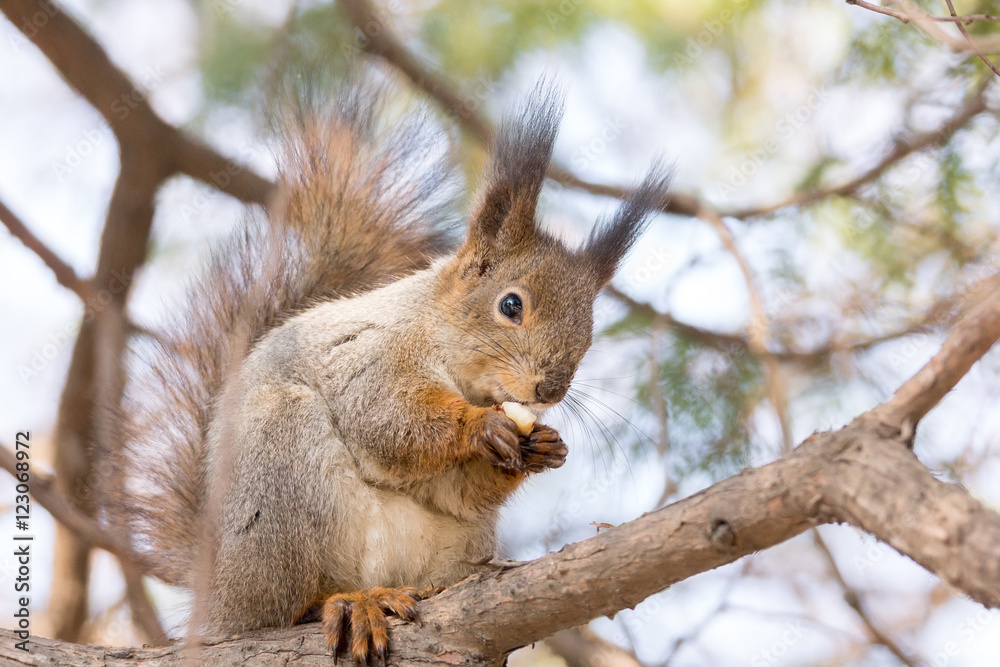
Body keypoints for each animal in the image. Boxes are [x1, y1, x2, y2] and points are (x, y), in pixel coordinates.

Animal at [115, 74, 670, 665]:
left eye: (589, 332)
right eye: (511, 305)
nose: (550, 389)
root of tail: (216, 596)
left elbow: (457, 490)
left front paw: (544, 446)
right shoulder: (372, 358)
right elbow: (388, 419)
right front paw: (479, 426)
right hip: (280, 475)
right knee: (286, 606)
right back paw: (344, 604)